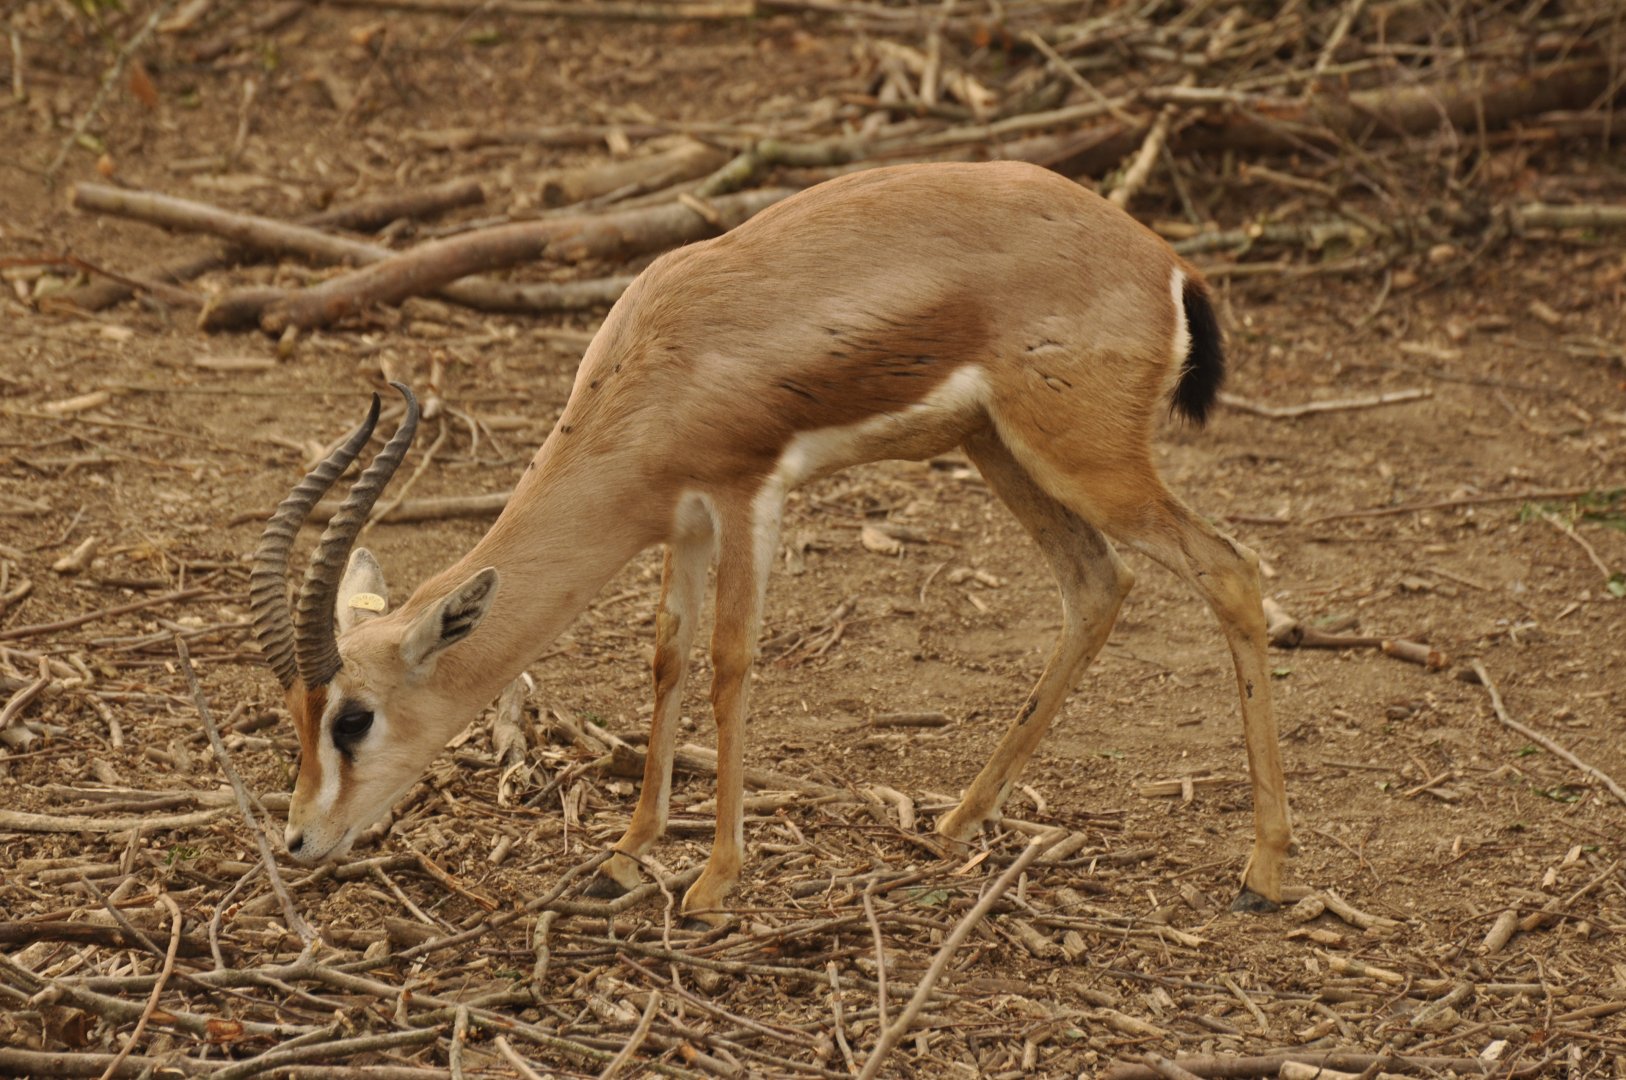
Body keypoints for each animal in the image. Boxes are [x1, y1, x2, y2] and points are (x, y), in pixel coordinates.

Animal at [251, 160, 1293, 921]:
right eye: (295, 716)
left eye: (353, 718)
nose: (300, 840)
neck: (655, 367)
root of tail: (1164, 262)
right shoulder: (681, 521)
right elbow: (667, 658)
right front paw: (626, 854)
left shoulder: (746, 494)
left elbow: (730, 664)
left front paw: (714, 880)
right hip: (999, 449)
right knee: (1096, 584)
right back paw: (957, 821)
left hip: (1080, 460)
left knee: (1233, 570)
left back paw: (1265, 873)